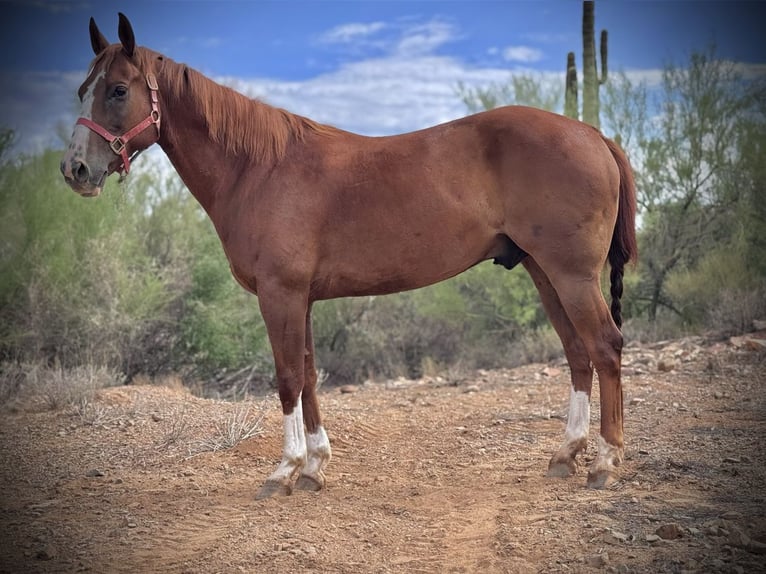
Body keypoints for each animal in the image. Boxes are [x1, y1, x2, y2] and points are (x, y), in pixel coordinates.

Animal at [60, 14, 637, 498]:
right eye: (83, 90)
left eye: (118, 90)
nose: (75, 170)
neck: (258, 168)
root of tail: (593, 134)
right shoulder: (302, 299)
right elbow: (310, 375)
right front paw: (315, 467)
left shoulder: (281, 295)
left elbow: (287, 377)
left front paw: (284, 470)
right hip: (545, 273)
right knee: (578, 354)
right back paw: (565, 455)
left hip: (571, 275)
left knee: (605, 348)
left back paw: (605, 463)